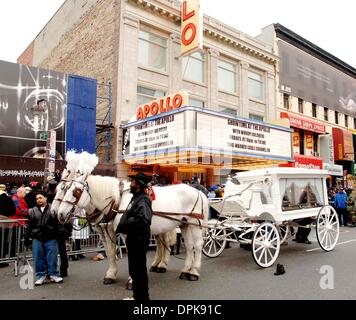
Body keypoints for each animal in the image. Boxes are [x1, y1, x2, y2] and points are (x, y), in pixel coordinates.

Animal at [56, 172, 209, 282]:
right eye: (65, 189)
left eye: (75, 192)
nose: (60, 214)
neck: (118, 201)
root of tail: (198, 192)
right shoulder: (107, 230)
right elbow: (110, 252)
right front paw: (111, 274)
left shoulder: (125, 232)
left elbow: (132, 253)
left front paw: (132, 279)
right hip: (184, 224)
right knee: (187, 246)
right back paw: (184, 270)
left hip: (195, 224)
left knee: (197, 245)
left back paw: (194, 272)